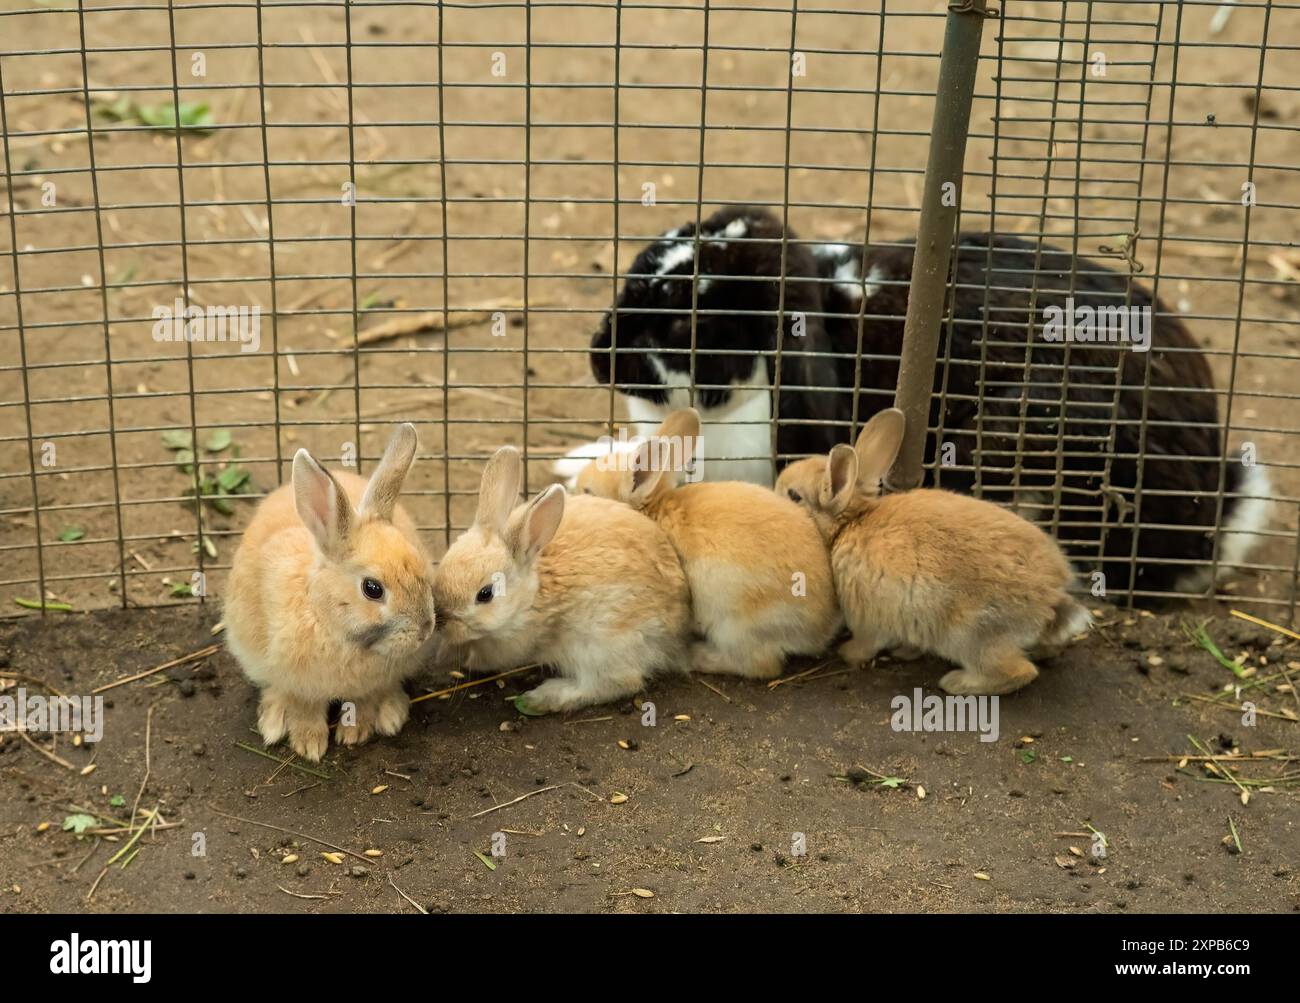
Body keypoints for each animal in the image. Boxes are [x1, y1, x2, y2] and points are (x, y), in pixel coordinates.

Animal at [226, 423, 439, 758]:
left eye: (422, 569)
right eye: (372, 589)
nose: (425, 630)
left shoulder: (369, 686)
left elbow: (365, 701)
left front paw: (356, 732)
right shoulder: (295, 680)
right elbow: (303, 706)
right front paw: (309, 745)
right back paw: (273, 721)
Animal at [431, 444, 691, 711]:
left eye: (485, 594)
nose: (441, 624)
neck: (530, 597)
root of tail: (678, 626)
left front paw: (467, 662)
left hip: (603, 645)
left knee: (617, 683)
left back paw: (543, 698)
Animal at [574, 407, 837, 680]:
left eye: (588, 492)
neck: (654, 509)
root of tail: (823, 628)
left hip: (734, 624)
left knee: (762, 665)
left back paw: (694, 656)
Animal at [774, 402, 1092, 691]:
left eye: (794, 495)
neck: (849, 523)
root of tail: (1049, 596)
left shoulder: (868, 616)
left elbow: (867, 642)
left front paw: (848, 655)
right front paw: (906, 651)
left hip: (968, 636)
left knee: (1018, 672)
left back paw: (957, 683)